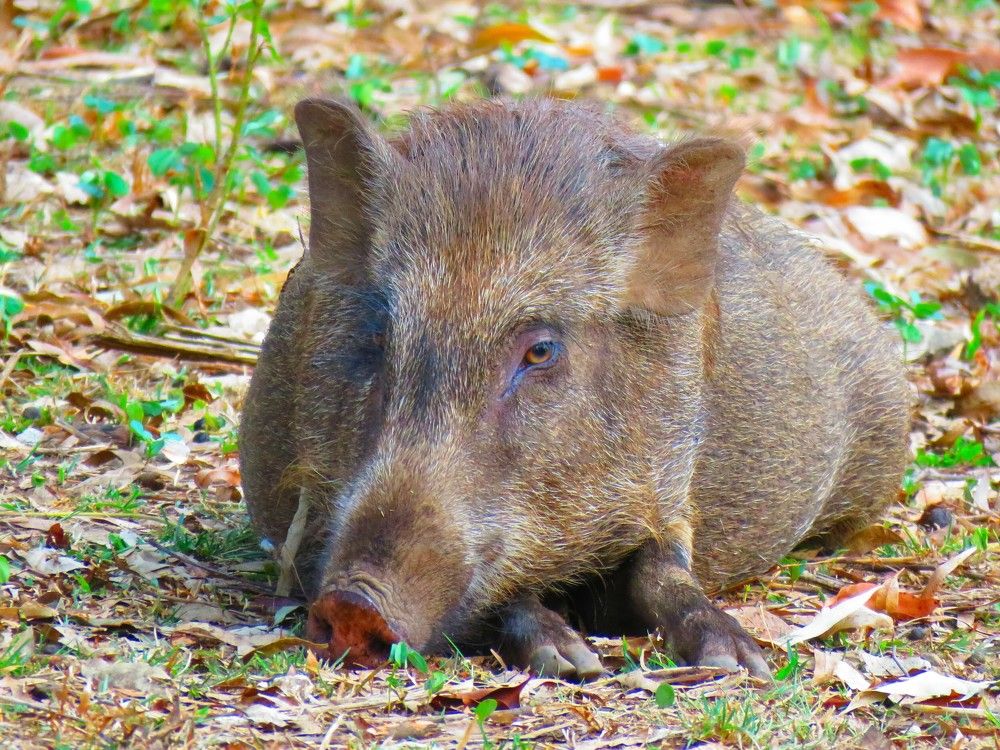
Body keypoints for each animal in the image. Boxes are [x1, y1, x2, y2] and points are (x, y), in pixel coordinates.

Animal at [238, 96, 909, 680]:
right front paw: (571, 662)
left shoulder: (671, 491)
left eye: (541, 350)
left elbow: (663, 575)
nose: (353, 604)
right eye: (380, 333)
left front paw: (742, 664)